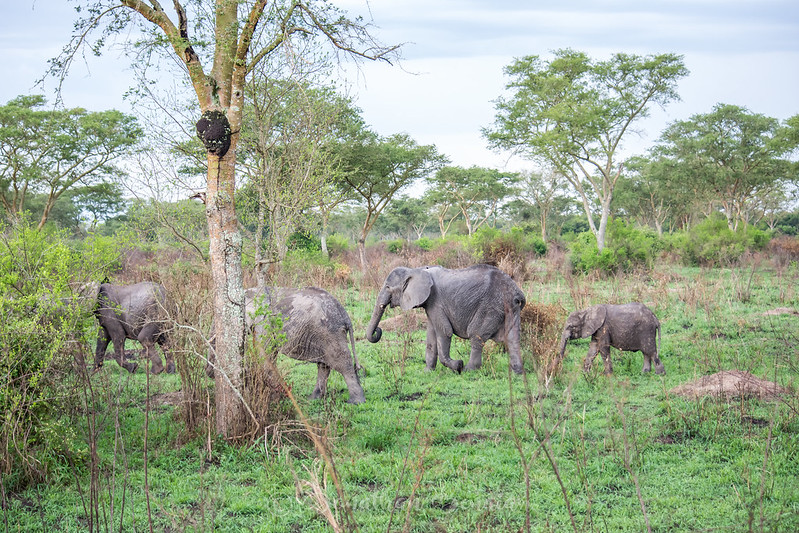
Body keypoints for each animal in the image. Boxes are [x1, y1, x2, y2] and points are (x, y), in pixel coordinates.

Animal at [208, 286, 368, 404]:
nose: (210, 375)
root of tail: (345, 314)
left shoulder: (265, 322)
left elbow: (265, 353)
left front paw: (273, 398)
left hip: (331, 332)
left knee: (342, 363)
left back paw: (356, 402)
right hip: (324, 335)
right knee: (324, 365)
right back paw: (313, 399)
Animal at [366, 264, 528, 372]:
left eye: (388, 287)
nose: (378, 330)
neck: (417, 270)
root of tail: (517, 292)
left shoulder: (436, 301)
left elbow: (445, 332)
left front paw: (458, 366)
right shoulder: (430, 304)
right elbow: (431, 336)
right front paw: (427, 372)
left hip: (491, 307)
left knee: (475, 334)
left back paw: (469, 369)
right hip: (510, 308)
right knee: (513, 338)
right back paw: (517, 372)